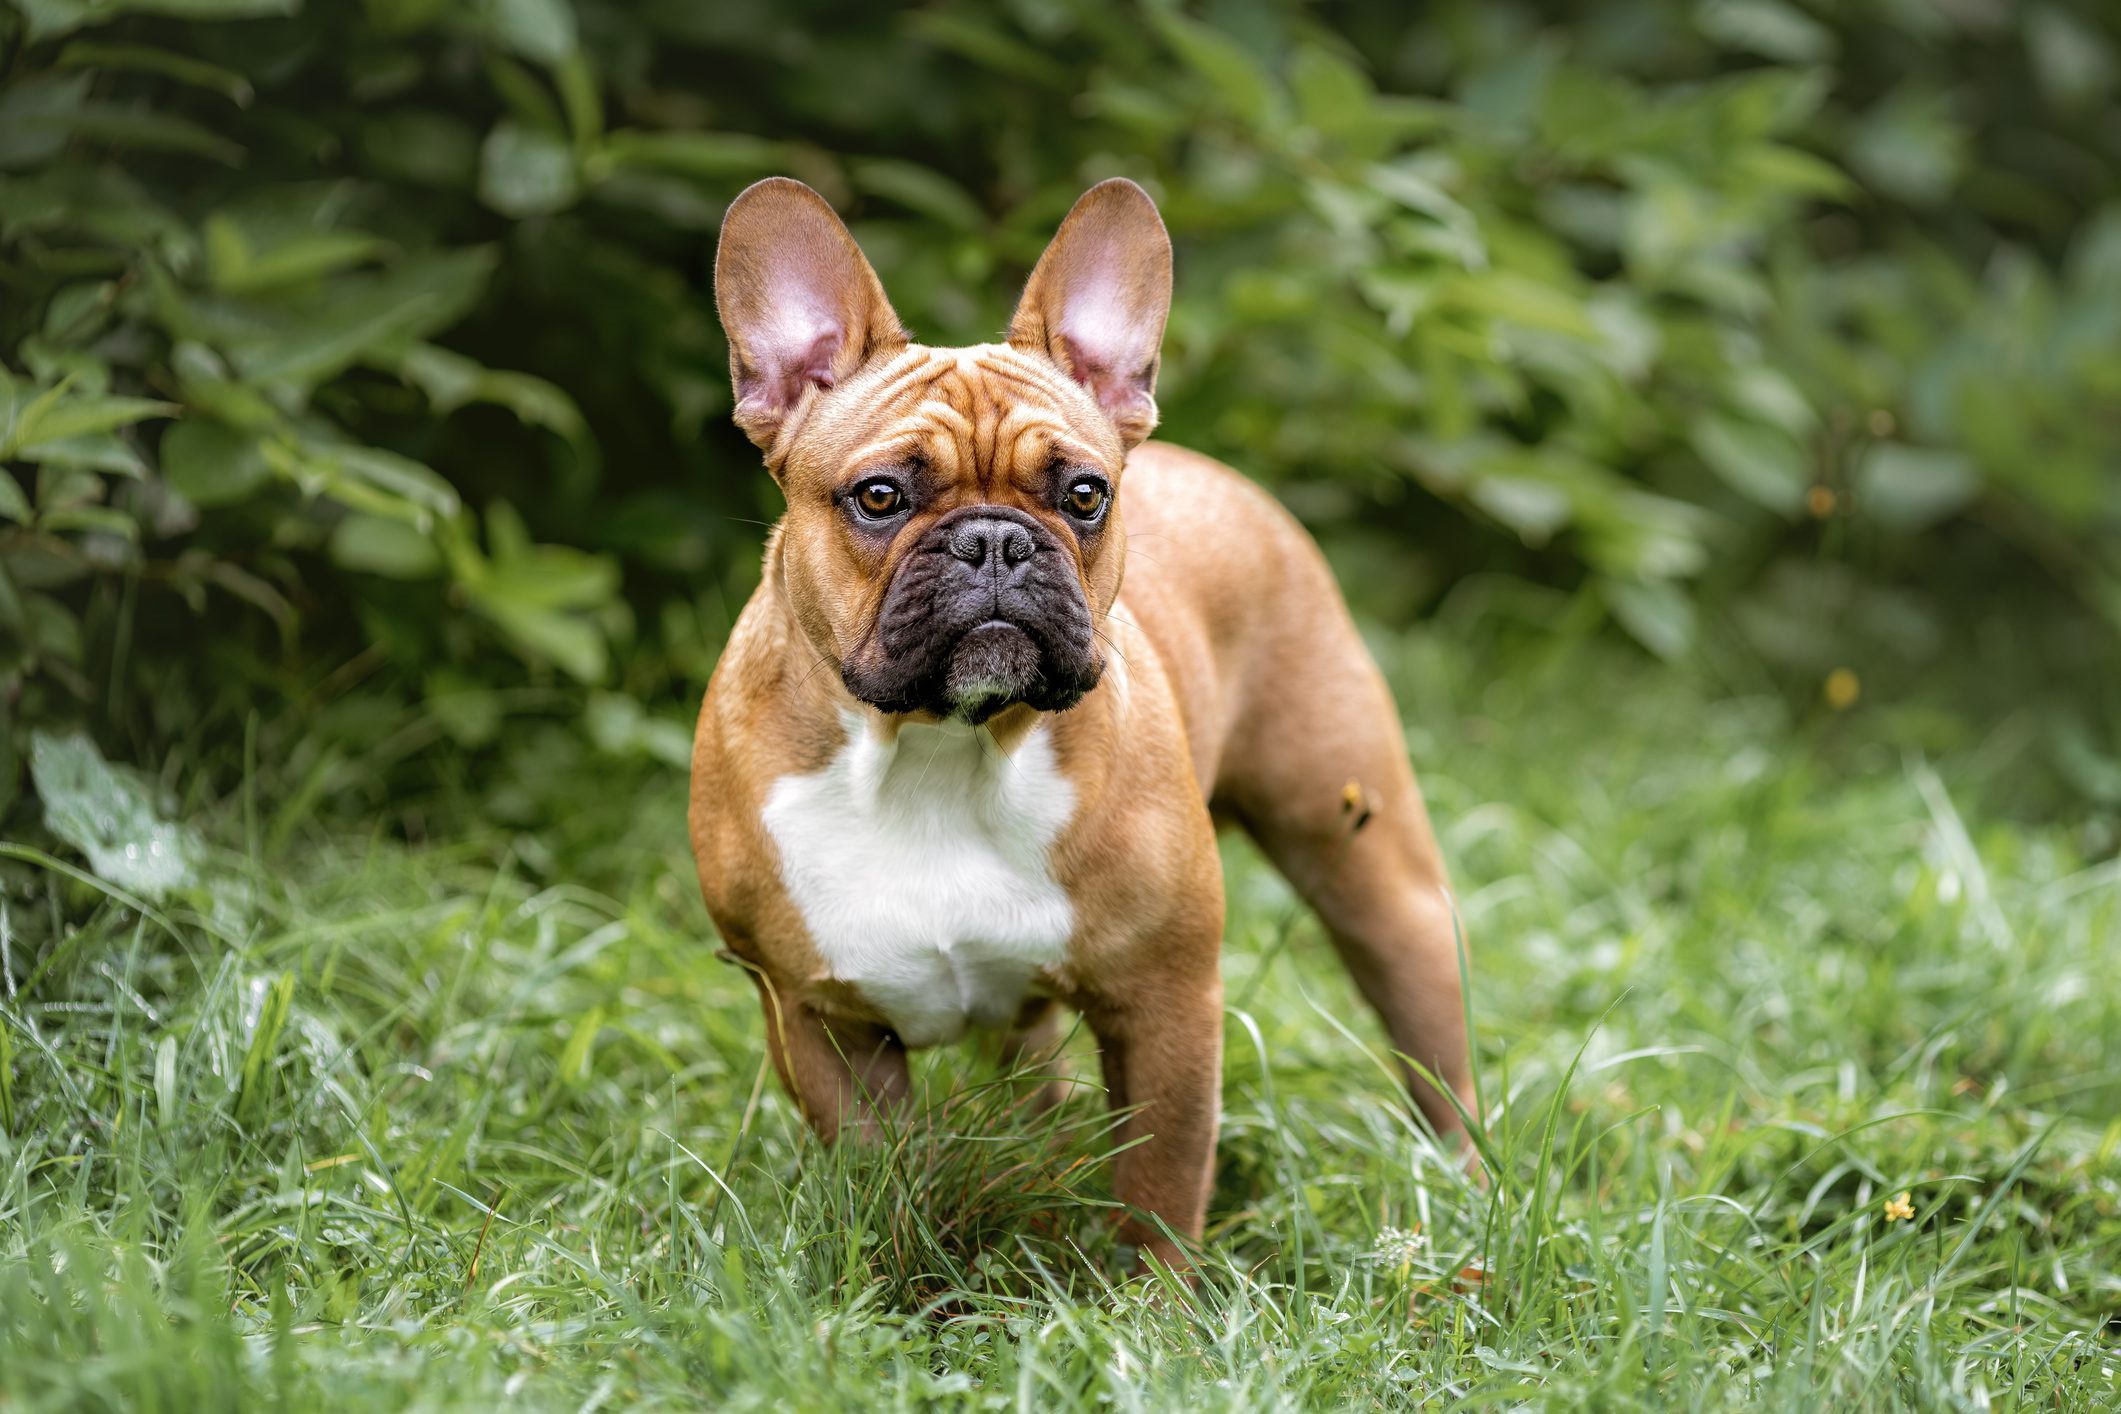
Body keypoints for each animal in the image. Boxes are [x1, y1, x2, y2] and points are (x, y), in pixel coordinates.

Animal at [695, 177, 1476, 1271]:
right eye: (880, 496)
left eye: (1083, 493)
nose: (993, 540)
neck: (942, 748)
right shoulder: (818, 1021)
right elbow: (882, 1173)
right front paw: (904, 1278)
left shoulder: (1165, 1004)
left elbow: (1159, 1184)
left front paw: (1154, 1306)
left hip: (1361, 854)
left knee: (1428, 1028)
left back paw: (1466, 1189)